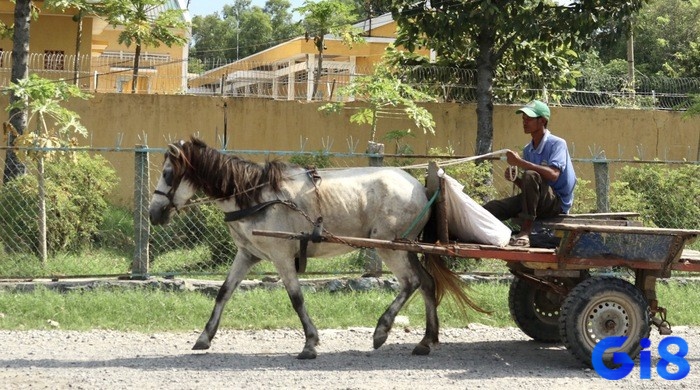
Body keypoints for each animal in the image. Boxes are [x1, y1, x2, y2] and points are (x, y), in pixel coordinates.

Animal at [148, 136, 482, 360]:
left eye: (167, 173)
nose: (154, 214)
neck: (254, 196)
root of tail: (420, 186)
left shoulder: (282, 256)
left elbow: (296, 298)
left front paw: (310, 343)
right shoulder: (248, 254)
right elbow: (224, 292)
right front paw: (204, 337)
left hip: (391, 247)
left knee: (411, 282)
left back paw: (381, 331)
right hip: (407, 248)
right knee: (426, 283)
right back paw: (426, 341)